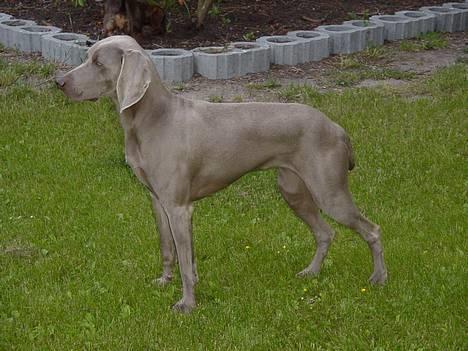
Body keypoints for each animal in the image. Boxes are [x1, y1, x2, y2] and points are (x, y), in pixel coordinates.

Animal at [54, 35, 388, 314]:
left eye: (99, 63)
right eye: (87, 57)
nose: (58, 81)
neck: (153, 119)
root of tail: (337, 128)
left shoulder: (179, 207)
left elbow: (185, 261)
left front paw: (187, 304)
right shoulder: (158, 201)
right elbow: (169, 249)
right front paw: (165, 281)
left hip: (329, 192)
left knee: (371, 229)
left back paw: (378, 278)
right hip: (293, 190)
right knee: (325, 232)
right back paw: (311, 272)